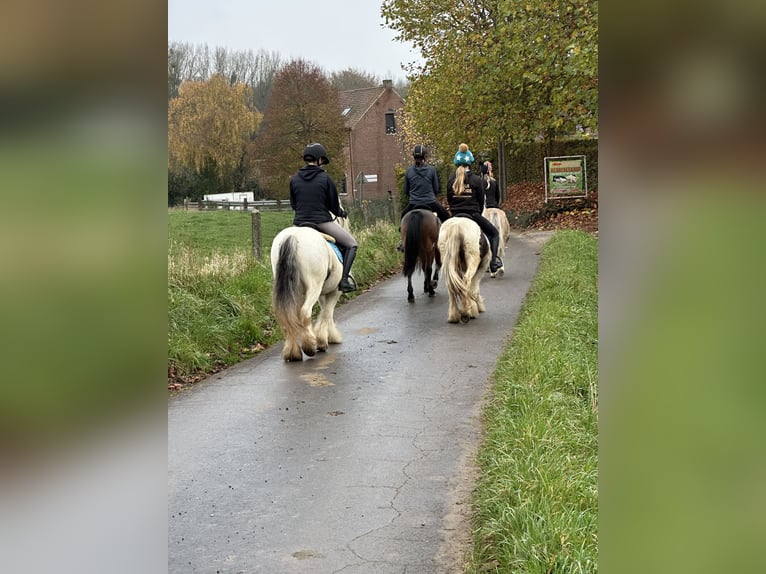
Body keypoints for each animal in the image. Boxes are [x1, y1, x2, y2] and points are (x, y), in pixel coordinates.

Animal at [270, 227, 342, 362]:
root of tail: (293, 235)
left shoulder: (324, 293)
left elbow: (325, 311)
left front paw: (329, 336)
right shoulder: (335, 291)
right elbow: (327, 312)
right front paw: (323, 341)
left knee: (288, 315)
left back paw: (293, 353)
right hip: (314, 287)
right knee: (304, 312)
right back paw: (309, 346)